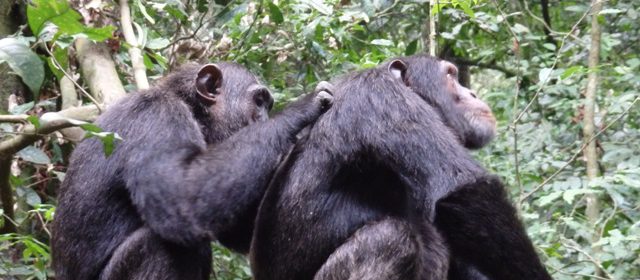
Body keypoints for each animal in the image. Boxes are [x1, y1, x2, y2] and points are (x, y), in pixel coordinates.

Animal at [52, 61, 332, 280]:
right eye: (259, 101)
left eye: (266, 105)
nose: (264, 117)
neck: (192, 109)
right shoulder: (157, 118)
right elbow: (182, 194)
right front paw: (303, 107)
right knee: (158, 246)